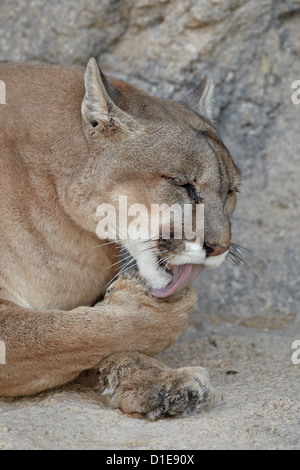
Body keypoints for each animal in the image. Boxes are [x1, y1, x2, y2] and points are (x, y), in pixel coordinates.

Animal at [0, 58, 240, 418]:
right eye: (184, 185)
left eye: (231, 192)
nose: (220, 248)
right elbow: (67, 334)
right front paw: (150, 308)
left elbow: (84, 332)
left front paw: (160, 381)